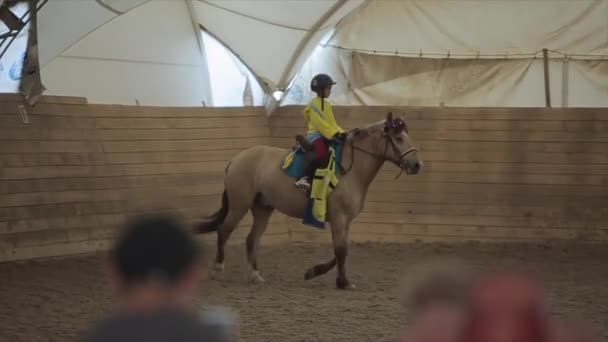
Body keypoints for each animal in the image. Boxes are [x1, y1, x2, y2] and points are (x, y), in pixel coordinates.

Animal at [196, 111, 422, 288]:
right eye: (399, 139)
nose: (416, 165)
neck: (351, 169)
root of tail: (237, 158)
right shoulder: (339, 218)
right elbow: (341, 251)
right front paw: (343, 282)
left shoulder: (345, 220)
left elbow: (341, 250)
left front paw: (315, 272)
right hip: (239, 206)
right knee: (224, 230)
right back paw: (217, 268)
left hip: (262, 209)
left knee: (252, 239)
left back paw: (254, 275)